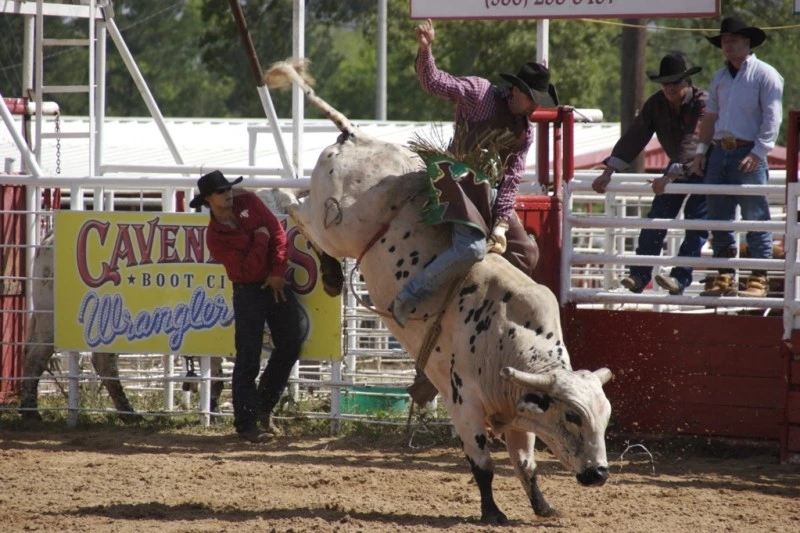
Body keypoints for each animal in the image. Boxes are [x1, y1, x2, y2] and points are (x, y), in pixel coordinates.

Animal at [268, 60, 612, 520]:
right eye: (573, 416)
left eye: (604, 417)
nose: (599, 473)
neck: (505, 334)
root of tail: (356, 135)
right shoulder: (464, 403)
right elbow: (482, 463)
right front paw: (492, 513)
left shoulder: (517, 415)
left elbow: (525, 464)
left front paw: (543, 506)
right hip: (335, 226)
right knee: (292, 206)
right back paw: (324, 263)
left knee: (300, 211)